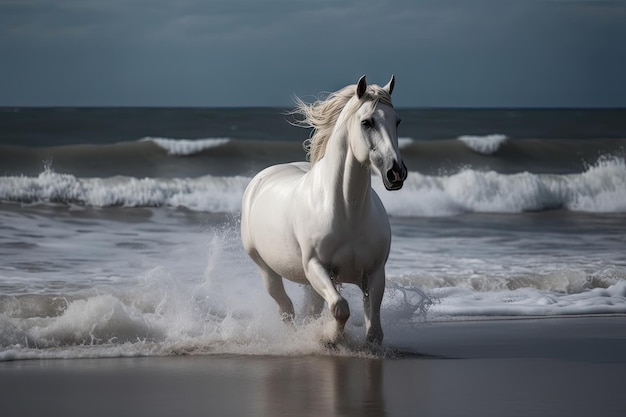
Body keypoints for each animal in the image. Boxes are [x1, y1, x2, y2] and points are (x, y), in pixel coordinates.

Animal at [239, 75, 404, 344]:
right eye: (367, 122)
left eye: (397, 121)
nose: (396, 173)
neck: (348, 213)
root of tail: (260, 179)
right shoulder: (316, 267)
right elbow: (339, 307)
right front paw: (330, 338)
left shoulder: (375, 273)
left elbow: (374, 330)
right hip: (266, 269)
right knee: (286, 308)